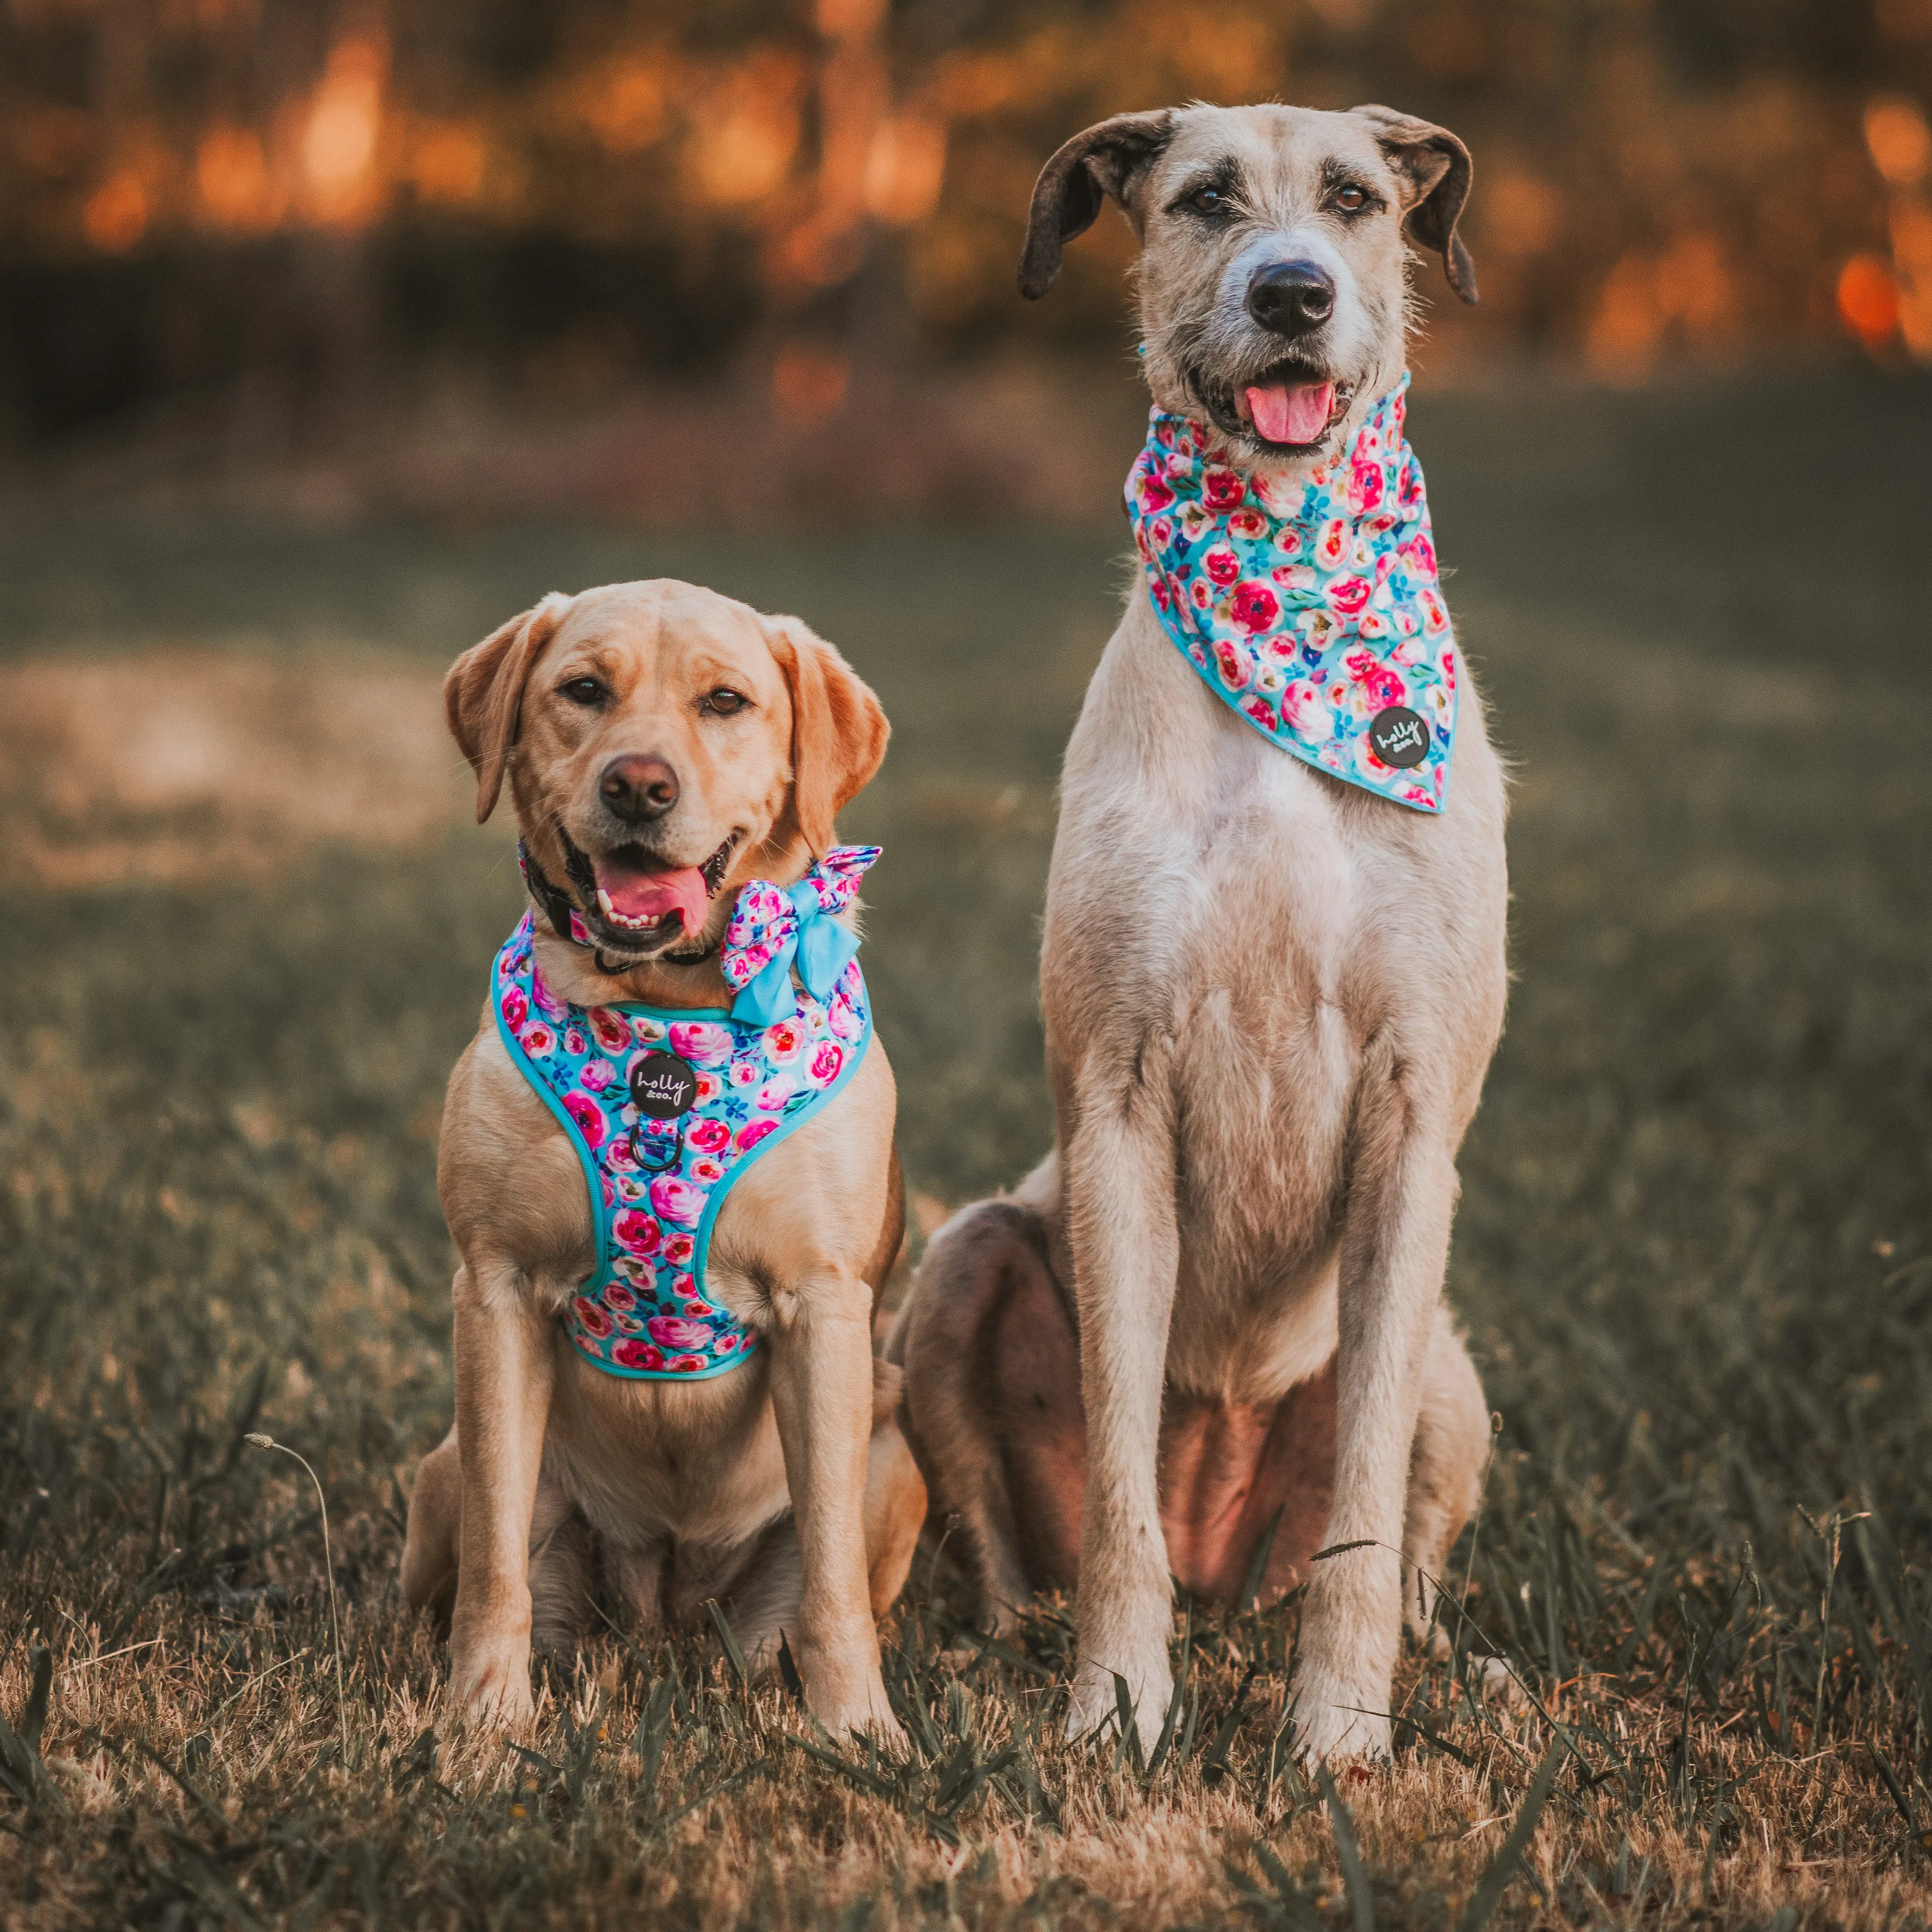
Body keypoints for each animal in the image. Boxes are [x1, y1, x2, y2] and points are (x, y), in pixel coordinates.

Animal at [403, 579, 923, 1746]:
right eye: (582, 690)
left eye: (724, 701)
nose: (637, 784)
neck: (661, 1011)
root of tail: (664, 1606)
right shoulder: (495, 1289)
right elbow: (495, 1567)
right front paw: (482, 1724)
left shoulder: (824, 1308)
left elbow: (830, 1580)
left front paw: (859, 1731)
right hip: (450, 1464)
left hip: (892, 1458)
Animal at [889, 109, 1507, 1769]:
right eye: (1204, 199)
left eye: (1354, 198)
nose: (1292, 290)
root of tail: (1229, 1544)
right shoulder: (1114, 1101)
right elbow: (1113, 1489)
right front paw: (1117, 1704)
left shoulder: (1413, 1121)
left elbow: (1363, 1509)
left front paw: (1340, 1730)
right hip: (963, 1261)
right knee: (999, 1550)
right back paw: (999, 1647)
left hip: (1450, 1364)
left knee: (1402, 1543)